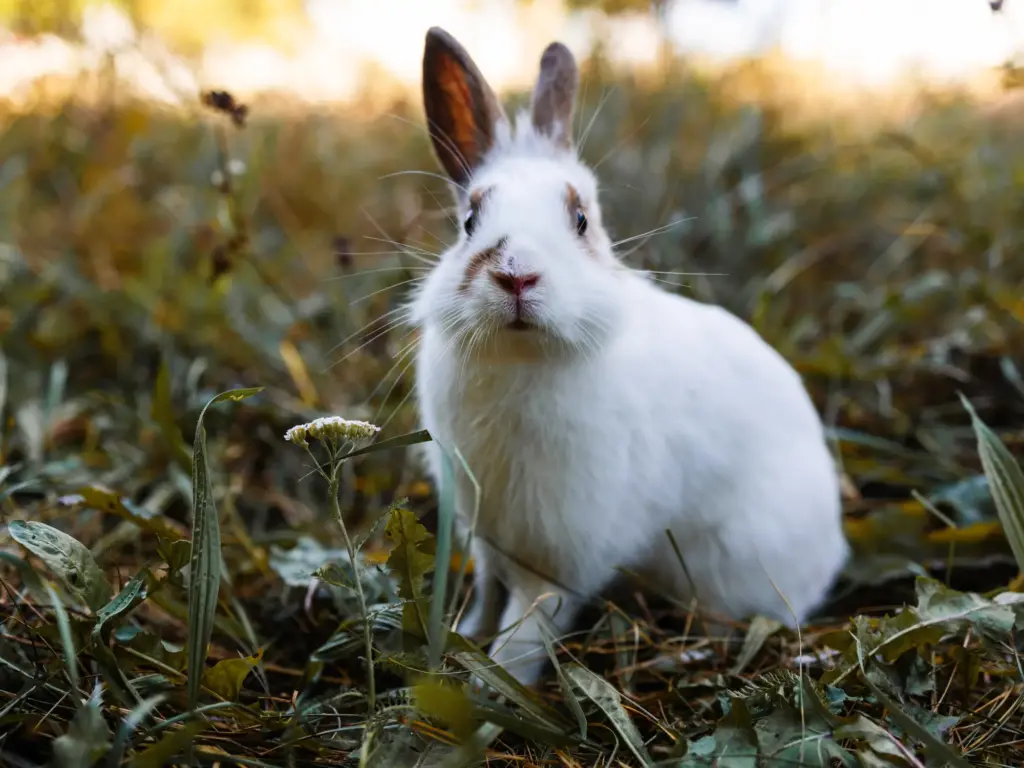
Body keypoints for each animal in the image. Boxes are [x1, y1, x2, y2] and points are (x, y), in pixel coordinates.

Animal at [407, 26, 850, 687]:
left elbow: (527, 627)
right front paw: (467, 638)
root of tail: (831, 547)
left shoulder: (563, 556)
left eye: (581, 220)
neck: (521, 358)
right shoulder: (487, 538)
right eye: (468, 221)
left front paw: (496, 679)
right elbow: (488, 593)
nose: (516, 275)